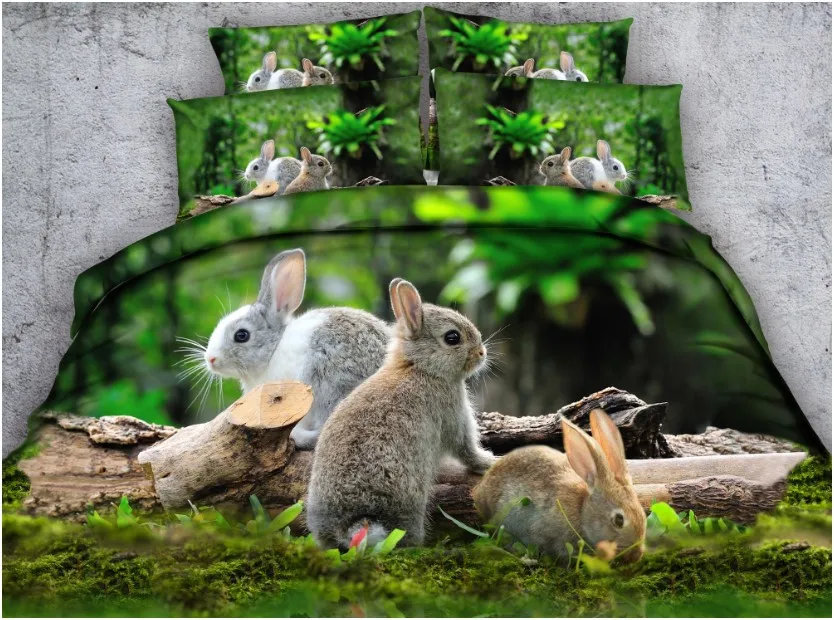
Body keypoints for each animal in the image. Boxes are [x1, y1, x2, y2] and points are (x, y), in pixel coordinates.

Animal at [306, 279, 497, 550]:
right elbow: (466, 450)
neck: (420, 367)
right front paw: (490, 461)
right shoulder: (453, 415)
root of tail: (353, 524)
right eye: (452, 337)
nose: (482, 353)